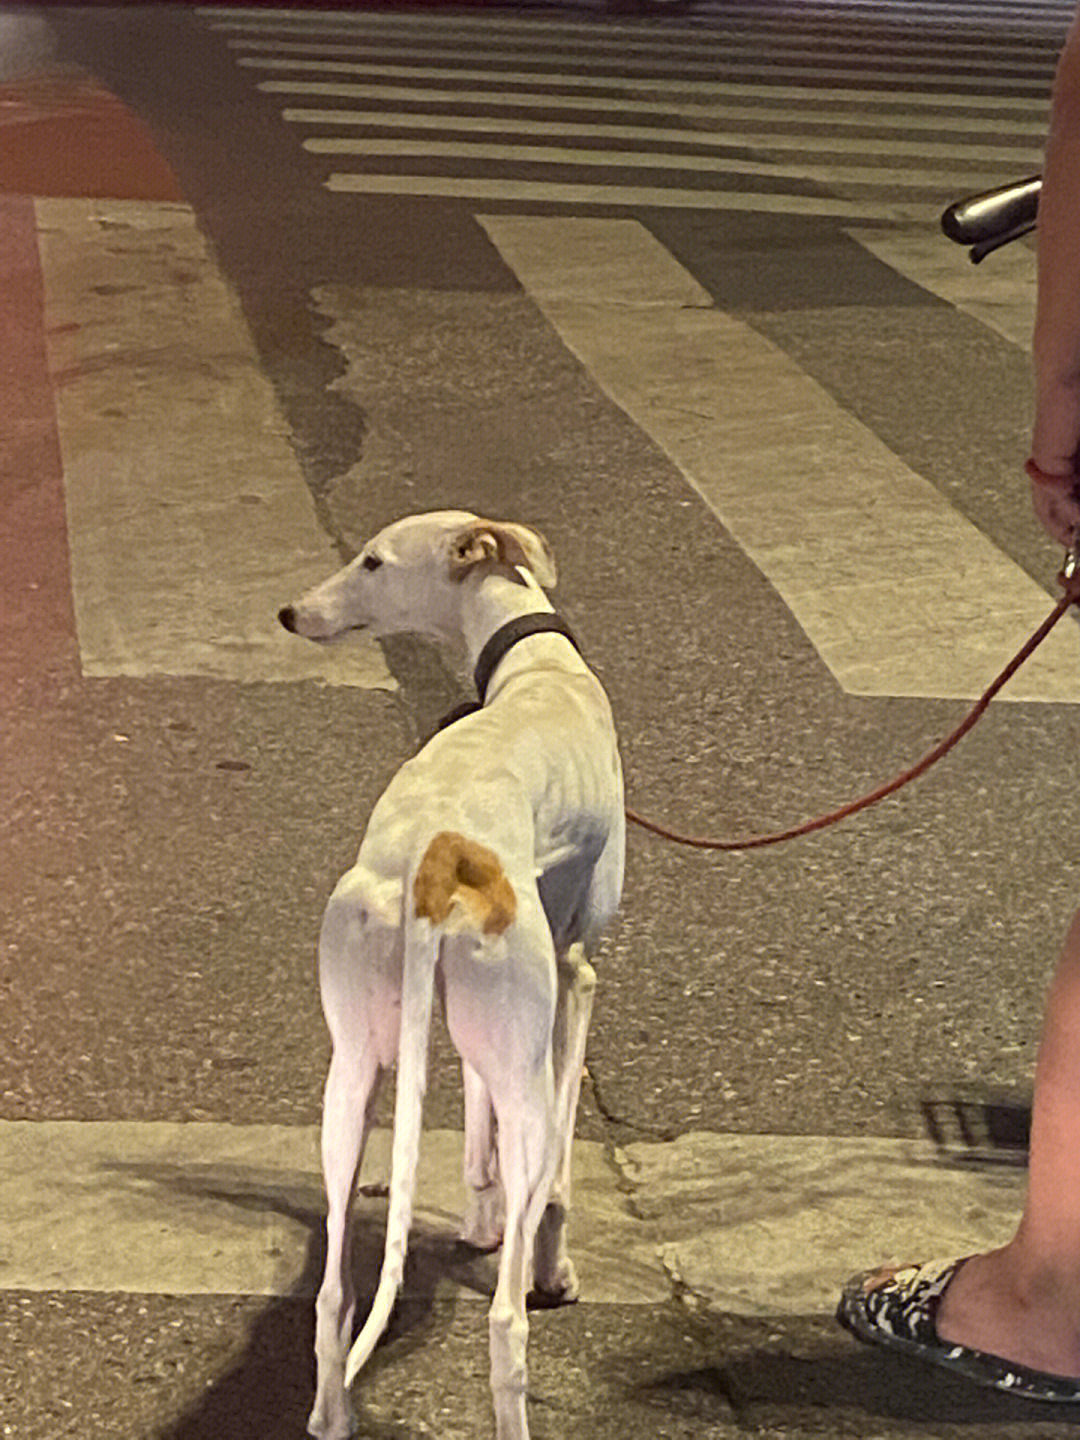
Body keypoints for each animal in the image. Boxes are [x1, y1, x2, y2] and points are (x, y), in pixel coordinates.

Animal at [280, 512, 624, 1434]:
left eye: (372, 562)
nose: (289, 613)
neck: (534, 670)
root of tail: (436, 853)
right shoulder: (573, 981)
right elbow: (555, 1181)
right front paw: (552, 1267)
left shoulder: (479, 1046)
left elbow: (477, 1138)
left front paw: (478, 1220)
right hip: (522, 1062)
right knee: (504, 1324)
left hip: (353, 1078)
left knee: (334, 1299)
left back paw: (330, 1412)